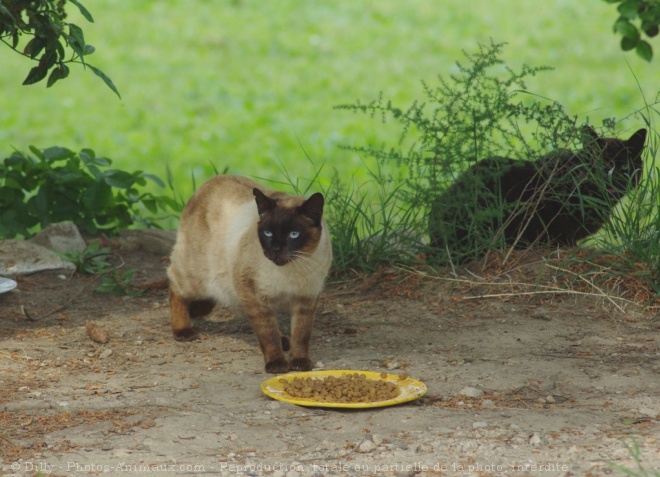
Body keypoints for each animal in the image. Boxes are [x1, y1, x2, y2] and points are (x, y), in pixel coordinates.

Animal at [169, 174, 332, 372]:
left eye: (294, 234)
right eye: (268, 233)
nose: (275, 250)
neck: (292, 270)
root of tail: (208, 182)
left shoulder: (306, 298)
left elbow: (301, 335)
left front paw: (299, 363)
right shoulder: (255, 296)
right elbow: (268, 334)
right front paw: (277, 365)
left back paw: (284, 341)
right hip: (197, 278)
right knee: (174, 286)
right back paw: (183, 331)